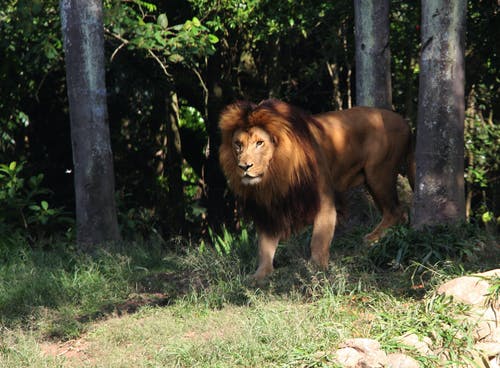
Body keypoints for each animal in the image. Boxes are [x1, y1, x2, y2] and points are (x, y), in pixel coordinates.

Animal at [219, 99, 414, 280]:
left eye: (260, 143)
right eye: (238, 144)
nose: (244, 166)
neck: (277, 172)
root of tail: (404, 121)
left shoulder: (324, 200)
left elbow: (319, 239)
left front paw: (316, 268)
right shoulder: (271, 207)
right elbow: (265, 246)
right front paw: (259, 275)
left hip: (379, 174)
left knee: (396, 211)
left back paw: (371, 239)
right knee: (398, 213)